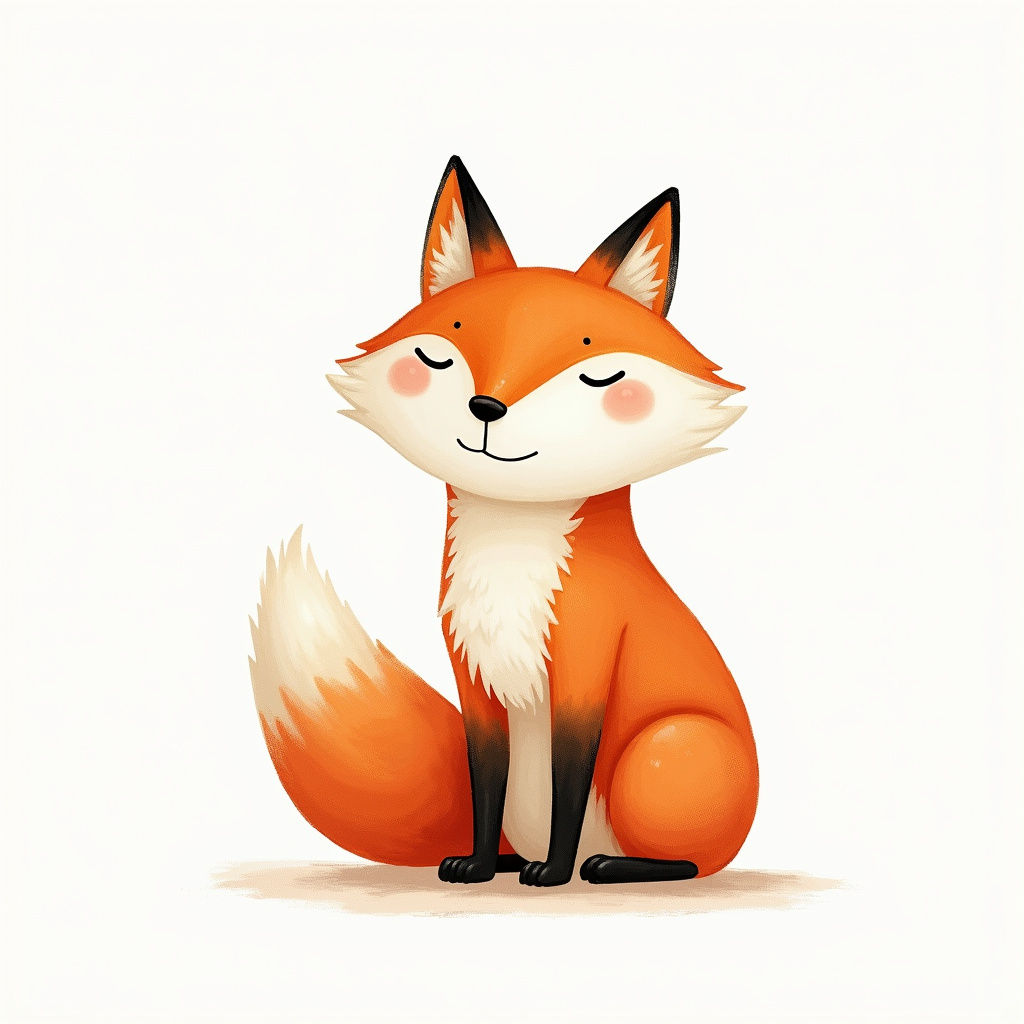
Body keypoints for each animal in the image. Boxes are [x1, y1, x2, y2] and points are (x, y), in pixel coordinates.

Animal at [249, 156, 758, 886]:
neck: (511, 560)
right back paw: (520, 858)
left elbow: (569, 780)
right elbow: (485, 777)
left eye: (599, 375)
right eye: (438, 356)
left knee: (690, 863)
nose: (487, 407)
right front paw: (481, 865)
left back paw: (608, 865)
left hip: (669, 745)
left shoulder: (584, 664)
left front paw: (555, 871)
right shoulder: (471, 672)